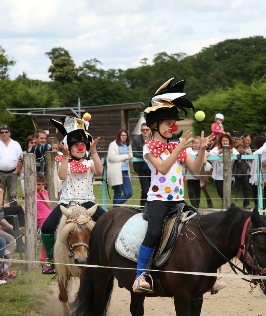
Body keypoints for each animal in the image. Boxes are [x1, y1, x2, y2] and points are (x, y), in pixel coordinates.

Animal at [70, 206, 266, 314]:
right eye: (261, 246)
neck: (202, 247)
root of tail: (104, 218)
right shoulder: (182, 296)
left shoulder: (198, 297)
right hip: (101, 276)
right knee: (97, 305)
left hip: (134, 286)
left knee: (136, 308)